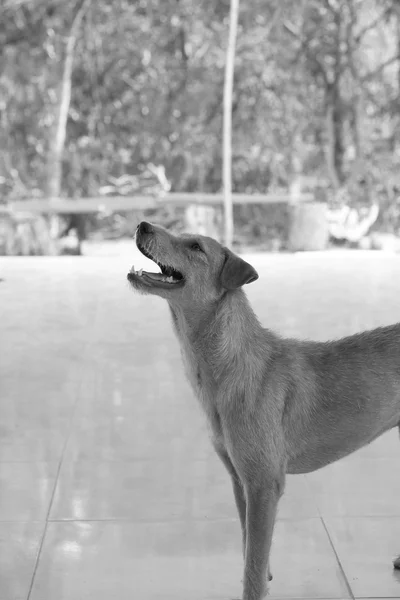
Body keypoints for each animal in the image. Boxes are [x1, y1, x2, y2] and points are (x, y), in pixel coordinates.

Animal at [128, 221, 400, 600]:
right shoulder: (239, 480)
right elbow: (250, 547)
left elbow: (253, 563)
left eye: (195, 247)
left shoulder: (263, 484)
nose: (143, 225)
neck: (231, 365)